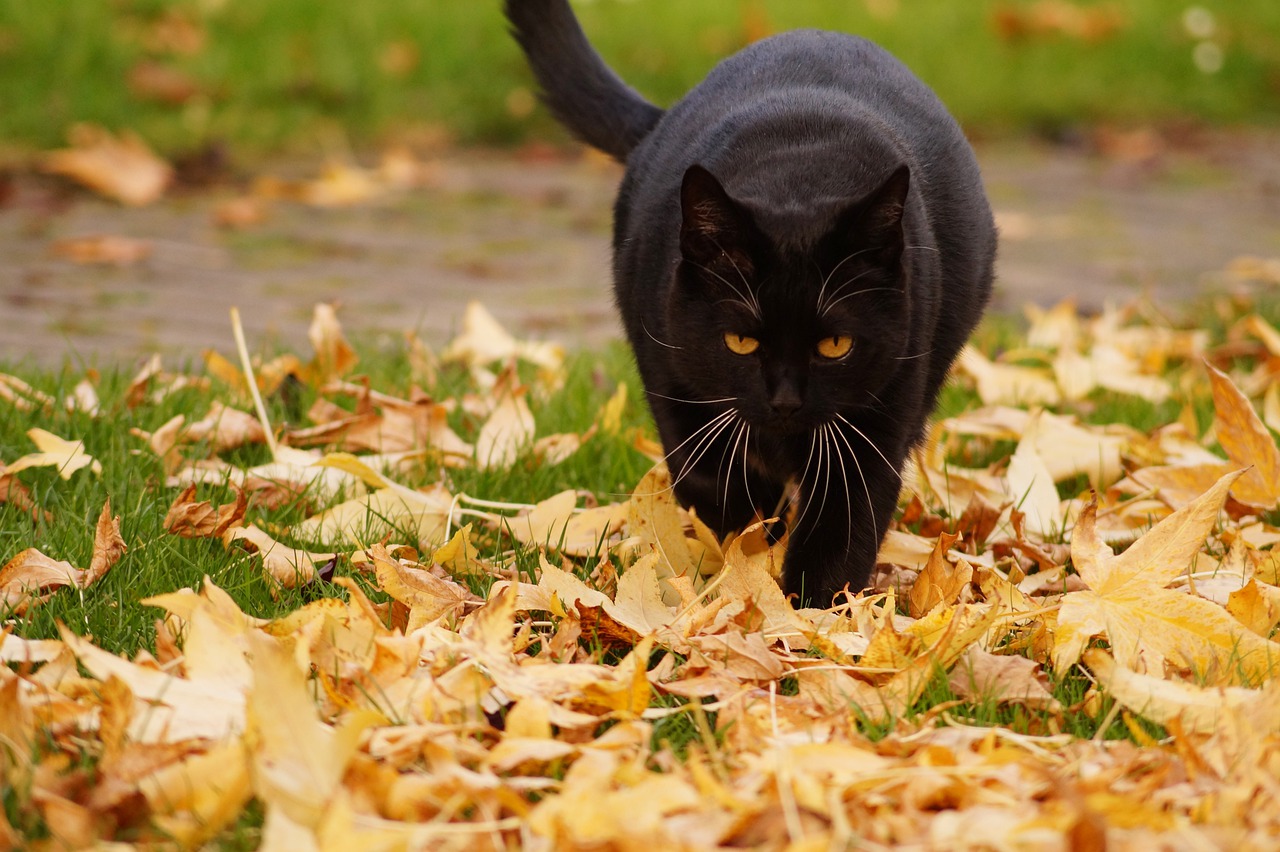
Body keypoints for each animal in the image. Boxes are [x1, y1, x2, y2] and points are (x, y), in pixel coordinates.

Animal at [504, 0, 993, 603]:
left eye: (836, 344)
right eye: (740, 340)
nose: (784, 401)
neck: (798, 177)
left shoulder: (875, 422)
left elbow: (843, 527)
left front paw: (812, 614)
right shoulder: (676, 388)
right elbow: (720, 492)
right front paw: (752, 565)